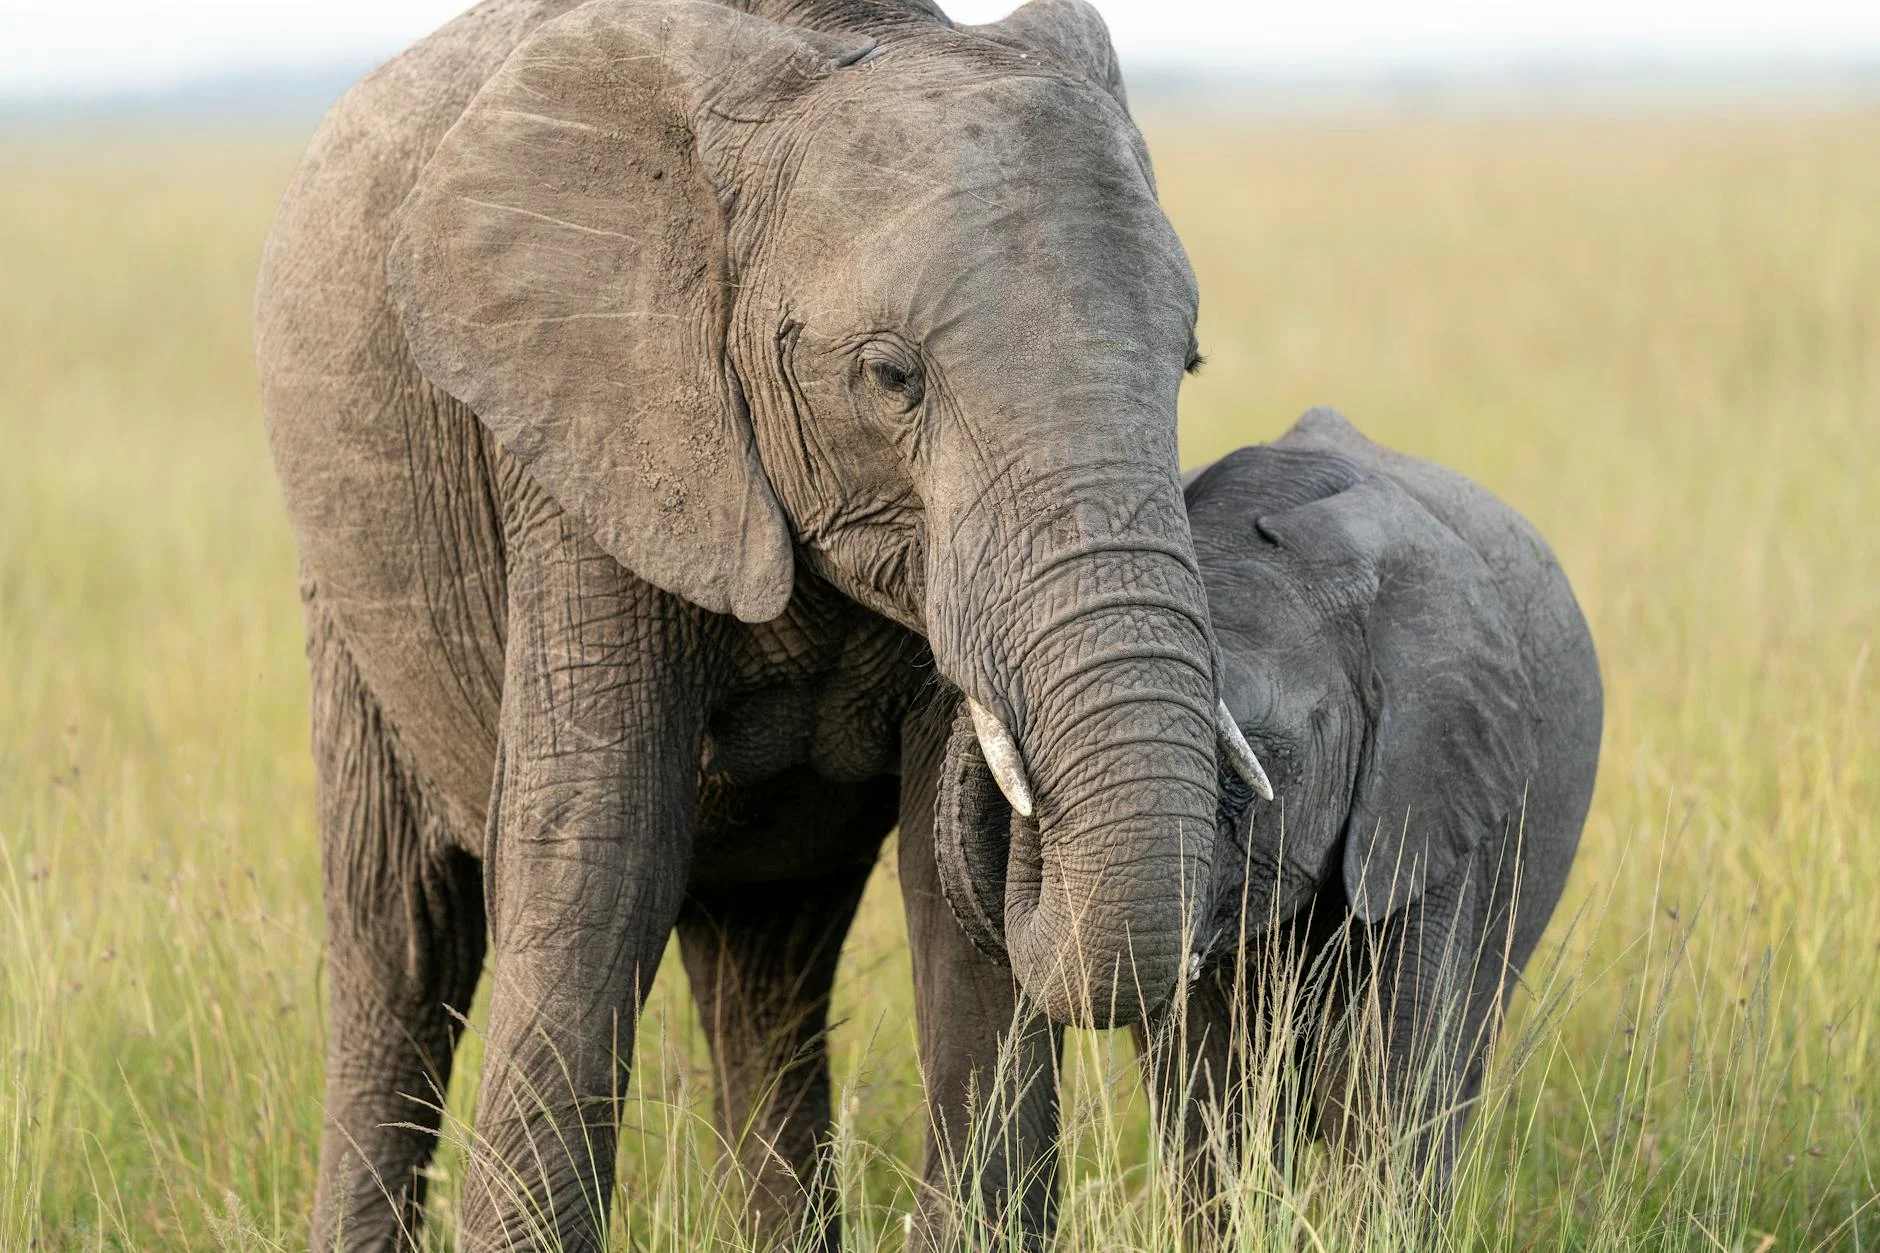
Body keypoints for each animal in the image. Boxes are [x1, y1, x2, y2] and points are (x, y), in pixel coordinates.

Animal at [253, 0, 1262, 1247]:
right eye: (888, 375)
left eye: (1186, 364)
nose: (1002, 740)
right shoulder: (588, 434)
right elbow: (597, 863)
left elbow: (952, 922)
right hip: (346, 593)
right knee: (401, 943)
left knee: (767, 968)